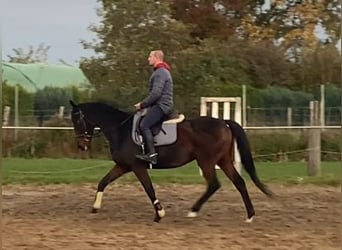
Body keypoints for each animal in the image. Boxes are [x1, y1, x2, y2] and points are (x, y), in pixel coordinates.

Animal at [69, 100, 272, 222]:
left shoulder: (137, 167)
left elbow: (149, 189)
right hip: (223, 161)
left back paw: (193, 210)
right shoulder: (123, 166)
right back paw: (250, 215)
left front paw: (159, 214)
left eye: (77, 120)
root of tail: (224, 123)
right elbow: (103, 182)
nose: (81, 145)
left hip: (206, 161)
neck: (121, 129)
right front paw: (95, 207)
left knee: (214, 184)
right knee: (239, 182)